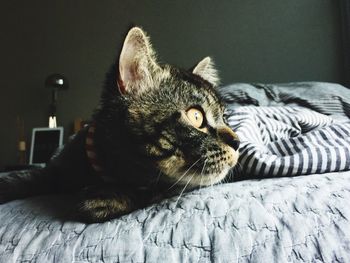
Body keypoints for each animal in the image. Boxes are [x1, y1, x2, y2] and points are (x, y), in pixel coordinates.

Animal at [0, 27, 239, 223]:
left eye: (225, 118)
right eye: (196, 117)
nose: (237, 142)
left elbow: (153, 188)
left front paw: (105, 199)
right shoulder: (54, 169)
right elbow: (21, 178)